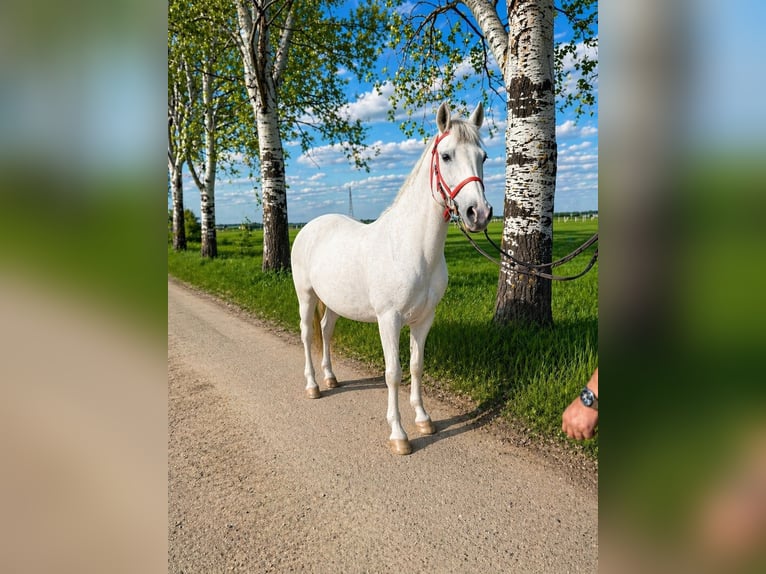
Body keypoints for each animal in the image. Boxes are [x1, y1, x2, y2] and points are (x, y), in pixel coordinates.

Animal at [291, 102, 492, 455]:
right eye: (446, 156)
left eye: (483, 156)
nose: (477, 213)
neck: (412, 247)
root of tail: (309, 227)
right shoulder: (389, 319)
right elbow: (393, 373)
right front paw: (399, 435)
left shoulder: (424, 319)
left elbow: (416, 366)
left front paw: (424, 420)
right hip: (306, 296)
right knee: (306, 334)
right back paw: (314, 385)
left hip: (333, 302)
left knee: (326, 331)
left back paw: (330, 378)